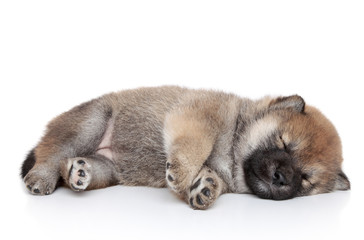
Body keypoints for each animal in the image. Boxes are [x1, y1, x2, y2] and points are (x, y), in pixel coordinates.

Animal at [19, 86, 350, 208]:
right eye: (284, 143)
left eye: (305, 178)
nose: (282, 177)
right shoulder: (197, 116)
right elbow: (195, 146)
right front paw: (182, 174)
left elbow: (209, 175)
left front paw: (205, 187)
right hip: (92, 121)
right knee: (52, 152)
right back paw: (41, 177)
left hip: (111, 168)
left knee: (73, 165)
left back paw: (80, 172)